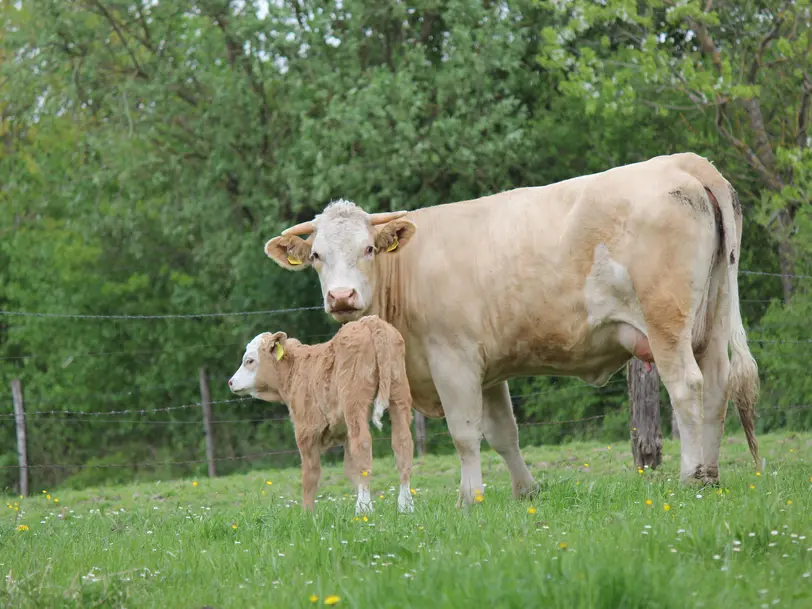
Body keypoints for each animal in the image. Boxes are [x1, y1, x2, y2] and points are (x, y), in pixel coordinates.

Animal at [264, 154, 760, 506]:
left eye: (368, 248)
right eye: (316, 256)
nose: (341, 296)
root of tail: (683, 162)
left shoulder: (453, 359)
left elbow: (465, 433)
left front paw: (469, 499)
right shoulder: (489, 369)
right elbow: (503, 433)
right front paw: (525, 491)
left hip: (667, 323)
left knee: (687, 387)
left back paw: (691, 477)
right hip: (710, 322)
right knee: (716, 389)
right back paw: (712, 475)